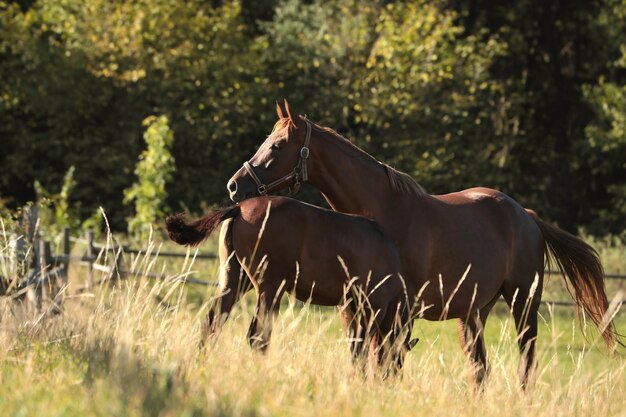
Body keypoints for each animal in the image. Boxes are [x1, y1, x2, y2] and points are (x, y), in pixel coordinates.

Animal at [165, 195, 414, 370]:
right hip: (271, 288)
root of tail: (239, 208)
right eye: (399, 359)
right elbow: (362, 347)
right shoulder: (373, 306)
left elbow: (355, 345)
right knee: (258, 336)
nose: (389, 381)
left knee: (212, 324)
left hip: (234, 282)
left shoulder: (351, 306)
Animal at [217, 102, 616, 388]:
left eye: (277, 146)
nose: (235, 185)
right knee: (480, 370)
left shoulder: (398, 312)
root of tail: (527, 217)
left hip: (523, 303)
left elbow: (387, 366)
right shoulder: (356, 307)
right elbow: (364, 360)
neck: (383, 214)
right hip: (473, 314)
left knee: (526, 363)